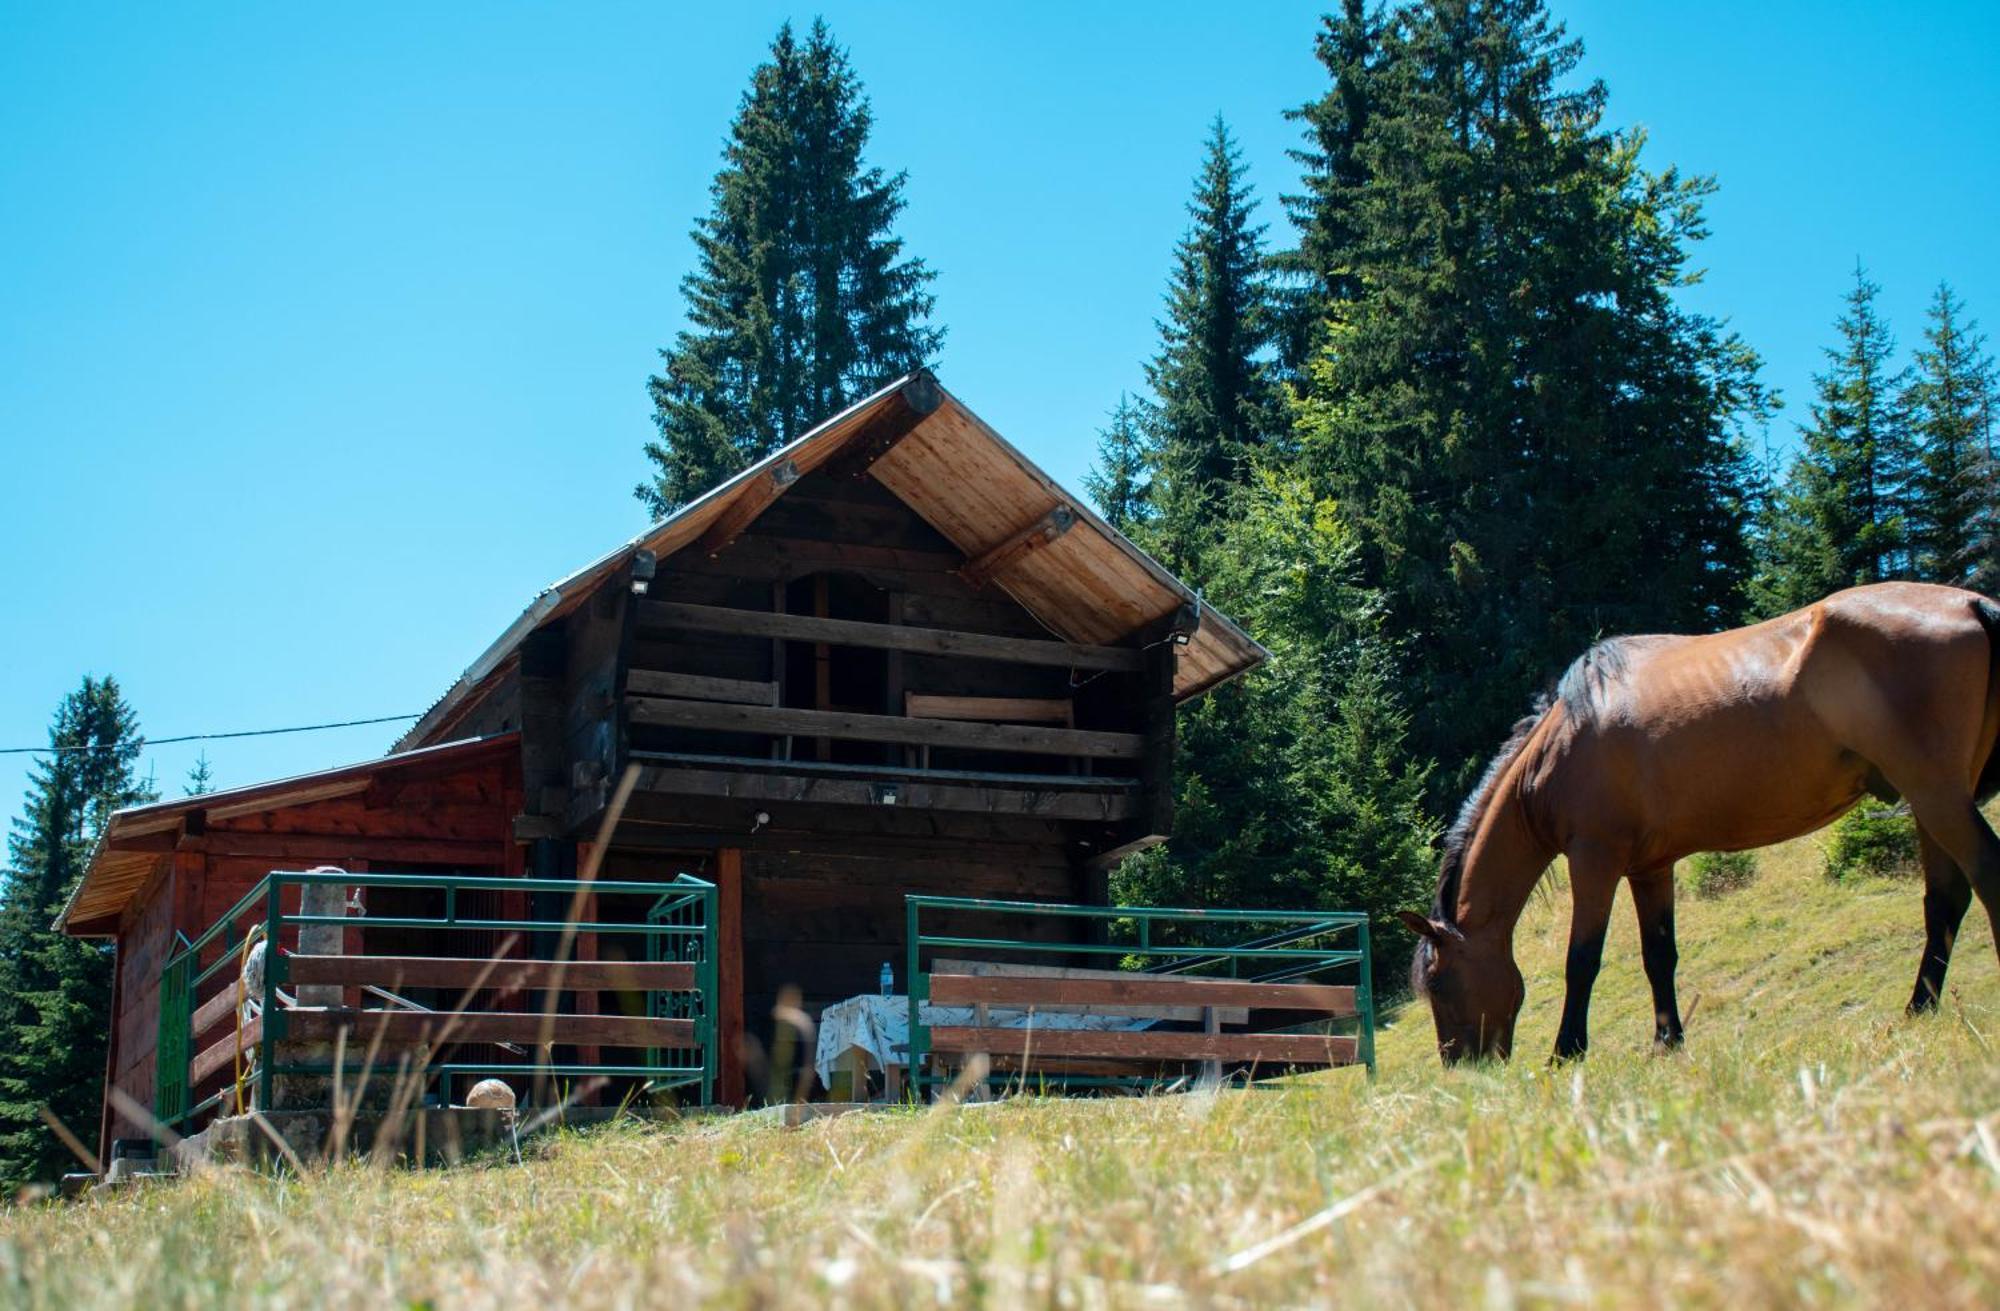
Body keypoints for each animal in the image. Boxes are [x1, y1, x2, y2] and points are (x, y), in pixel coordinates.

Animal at [1400, 583, 2000, 1063]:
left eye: (1439, 982)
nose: (1462, 1066)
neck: (1562, 743)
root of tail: (1971, 603)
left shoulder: (1594, 860)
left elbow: (1582, 960)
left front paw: (1566, 1053)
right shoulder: (1650, 868)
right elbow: (1658, 956)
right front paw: (1668, 1042)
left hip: (1936, 794)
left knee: (1984, 876)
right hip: (1929, 801)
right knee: (1944, 902)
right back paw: (1919, 1008)